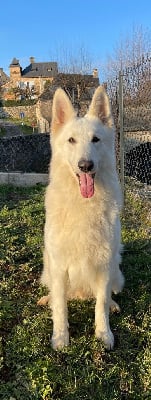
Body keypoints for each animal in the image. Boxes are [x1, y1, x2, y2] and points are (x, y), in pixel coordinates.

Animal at [38, 85, 124, 350]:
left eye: (96, 140)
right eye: (71, 140)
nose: (85, 165)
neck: (83, 204)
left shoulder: (105, 264)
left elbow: (101, 303)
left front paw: (103, 333)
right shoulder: (59, 266)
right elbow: (61, 307)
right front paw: (60, 337)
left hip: (116, 268)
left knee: (106, 294)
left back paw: (113, 305)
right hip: (48, 270)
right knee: (58, 295)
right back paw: (48, 299)